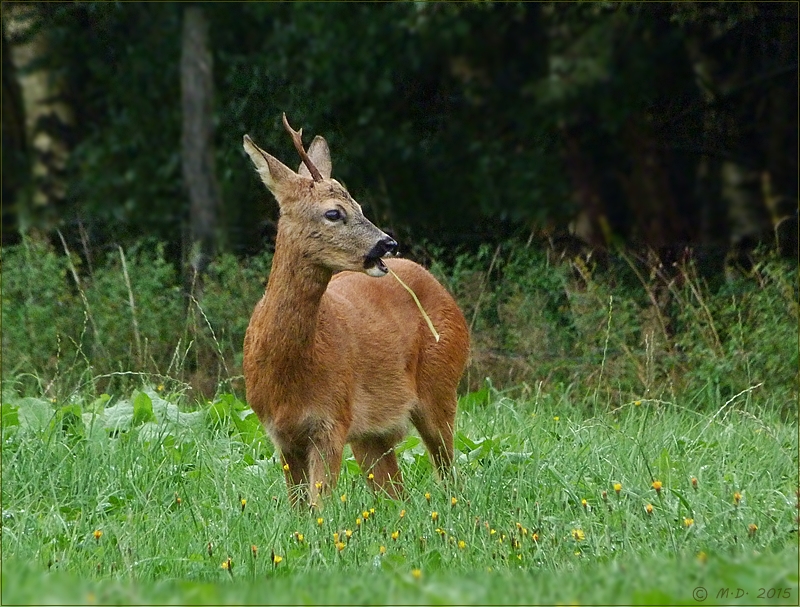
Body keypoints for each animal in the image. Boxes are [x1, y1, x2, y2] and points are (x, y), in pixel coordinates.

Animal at [242, 116, 468, 506]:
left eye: (360, 205)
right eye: (334, 212)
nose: (387, 243)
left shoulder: (333, 418)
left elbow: (319, 507)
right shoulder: (279, 432)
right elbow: (298, 507)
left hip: (441, 383)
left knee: (448, 472)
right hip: (372, 434)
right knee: (396, 491)